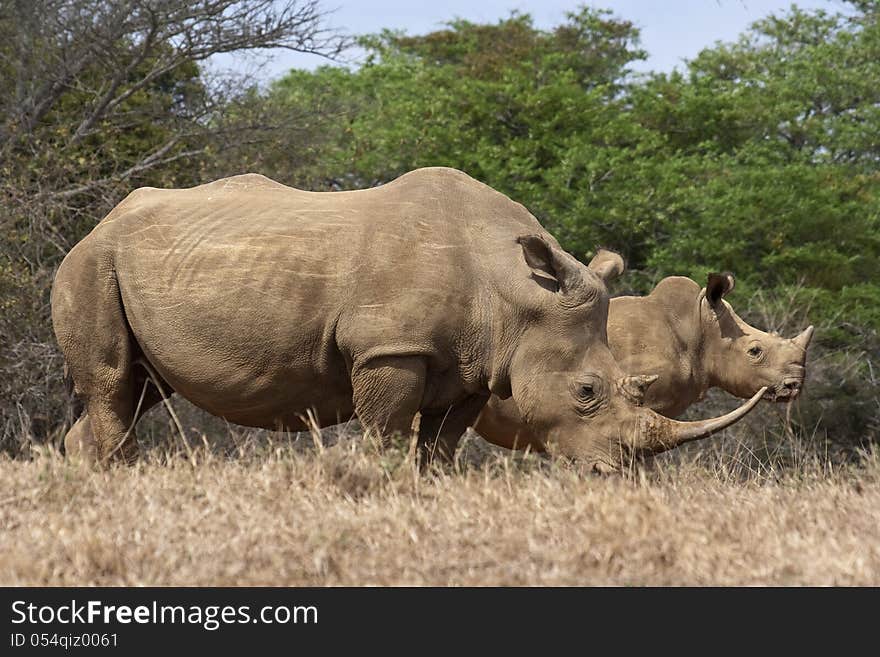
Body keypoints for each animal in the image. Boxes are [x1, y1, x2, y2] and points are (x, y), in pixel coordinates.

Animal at [49, 167, 764, 468]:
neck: (514, 295)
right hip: (90, 264)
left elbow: (440, 449)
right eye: (587, 391)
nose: (612, 474)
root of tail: (99, 223)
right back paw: (118, 478)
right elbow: (388, 436)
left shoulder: (481, 365)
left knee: (139, 387)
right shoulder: (389, 349)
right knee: (112, 382)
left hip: (136, 265)